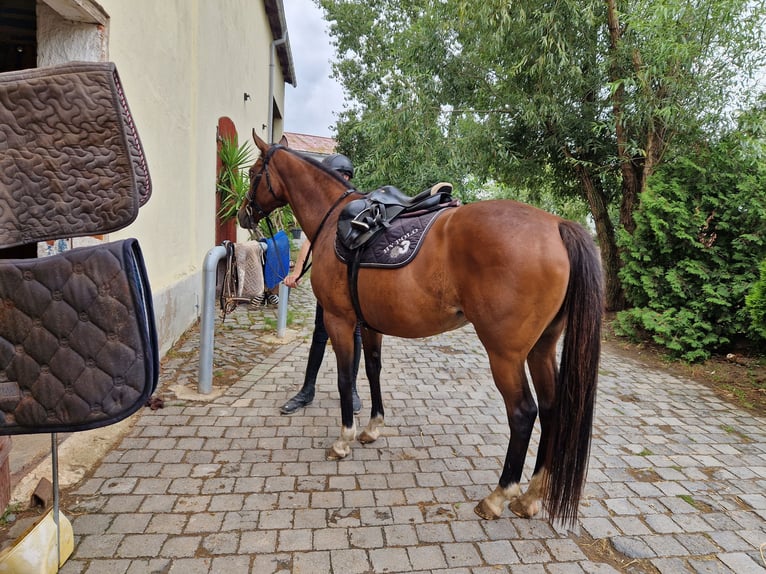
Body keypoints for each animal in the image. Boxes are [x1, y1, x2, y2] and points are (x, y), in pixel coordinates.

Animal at [240, 133, 608, 528]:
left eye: (253, 173)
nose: (243, 213)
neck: (335, 220)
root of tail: (556, 225)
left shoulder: (340, 321)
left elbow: (344, 378)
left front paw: (344, 439)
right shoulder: (370, 325)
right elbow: (372, 370)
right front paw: (372, 428)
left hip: (505, 355)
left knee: (524, 413)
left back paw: (498, 497)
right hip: (542, 348)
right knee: (553, 408)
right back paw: (531, 496)